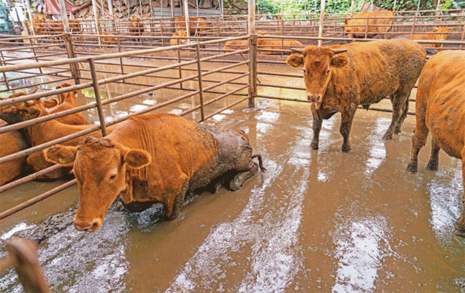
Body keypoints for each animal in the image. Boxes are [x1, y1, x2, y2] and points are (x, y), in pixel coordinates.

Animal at [45, 113, 266, 232]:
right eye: (75, 173)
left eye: (112, 174)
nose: (83, 224)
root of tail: (240, 132)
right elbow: (131, 206)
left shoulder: (178, 186)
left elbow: (170, 214)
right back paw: (215, 183)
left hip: (240, 162)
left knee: (253, 167)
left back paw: (233, 182)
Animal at [288, 38, 426, 152]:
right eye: (304, 70)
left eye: (327, 70)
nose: (313, 96)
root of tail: (417, 46)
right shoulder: (314, 106)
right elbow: (316, 127)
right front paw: (314, 145)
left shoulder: (350, 106)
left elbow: (344, 129)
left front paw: (346, 148)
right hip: (397, 91)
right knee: (404, 110)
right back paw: (397, 130)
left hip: (403, 89)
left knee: (396, 112)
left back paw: (388, 135)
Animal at [404, 50, 464, 237]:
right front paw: (461, 227)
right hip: (422, 106)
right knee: (419, 139)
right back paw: (412, 167)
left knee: (436, 141)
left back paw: (432, 165)